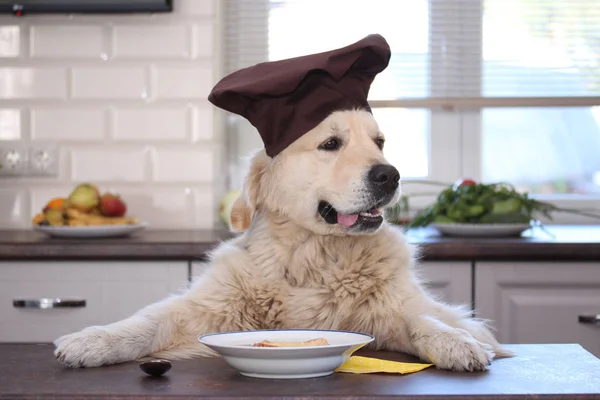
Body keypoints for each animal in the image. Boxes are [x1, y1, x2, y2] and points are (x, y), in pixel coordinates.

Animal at [54, 108, 510, 370]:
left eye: (379, 142)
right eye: (331, 143)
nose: (390, 175)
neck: (312, 257)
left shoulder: (392, 309)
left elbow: (424, 320)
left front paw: (457, 343)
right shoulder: (207, 307)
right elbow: (146, 322)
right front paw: (91, 341)